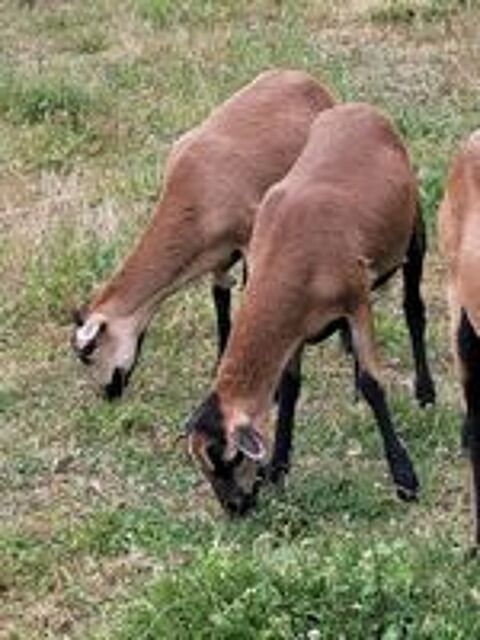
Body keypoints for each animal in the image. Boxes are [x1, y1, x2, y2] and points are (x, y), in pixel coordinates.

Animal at [71, 69, 335, 399]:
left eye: (89, 352)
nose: (109, 394)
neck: (196, 190)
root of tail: (304, 78)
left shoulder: (250, 243)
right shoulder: (218, 256)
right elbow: (221, 299)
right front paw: (218, 367)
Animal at [186, 102, 436, 515]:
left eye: (230, 459)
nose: (236, 510)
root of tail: (360, 108)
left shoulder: (356, 301)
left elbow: (374, 384)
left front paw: (405, 479)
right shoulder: (296, 327)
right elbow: (289, 388)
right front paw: (278, 469)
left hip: (414, 231)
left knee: (414, 310)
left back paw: (426, 392)